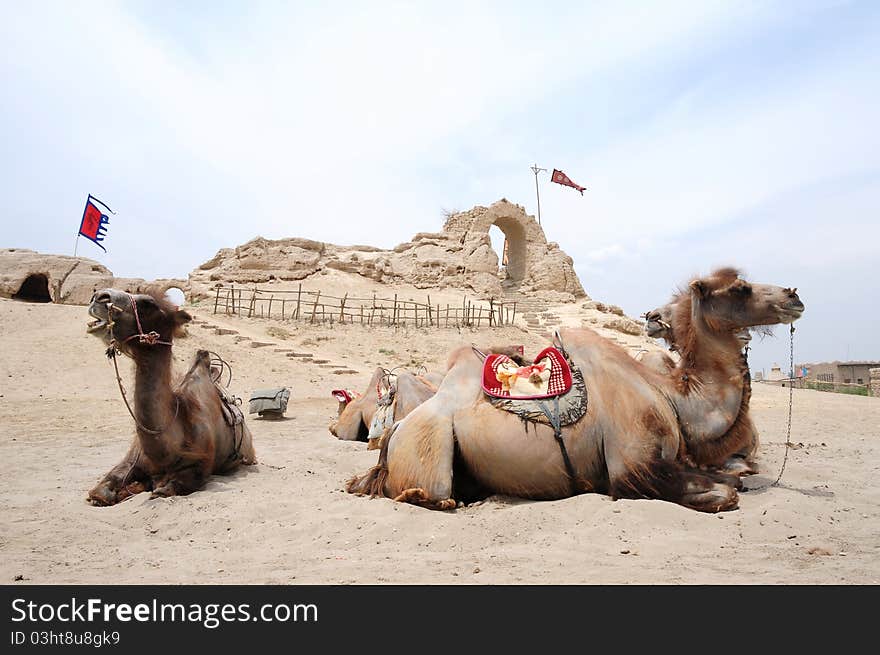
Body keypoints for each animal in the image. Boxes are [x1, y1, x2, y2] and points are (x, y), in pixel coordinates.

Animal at [85, 288, 254, 508]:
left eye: (148, 304)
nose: (100, 297)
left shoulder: (200, 465)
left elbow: (164, 489)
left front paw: (146, 486)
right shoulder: (131, 460)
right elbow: (100, 492)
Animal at [350, 270, 804, 516]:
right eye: (740, 287)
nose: (794, 295)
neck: (673, 397)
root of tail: (391, 436)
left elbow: (732, 478)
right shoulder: (632, 470)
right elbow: (726, 493)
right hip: (427, 447)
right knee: (433, 494)